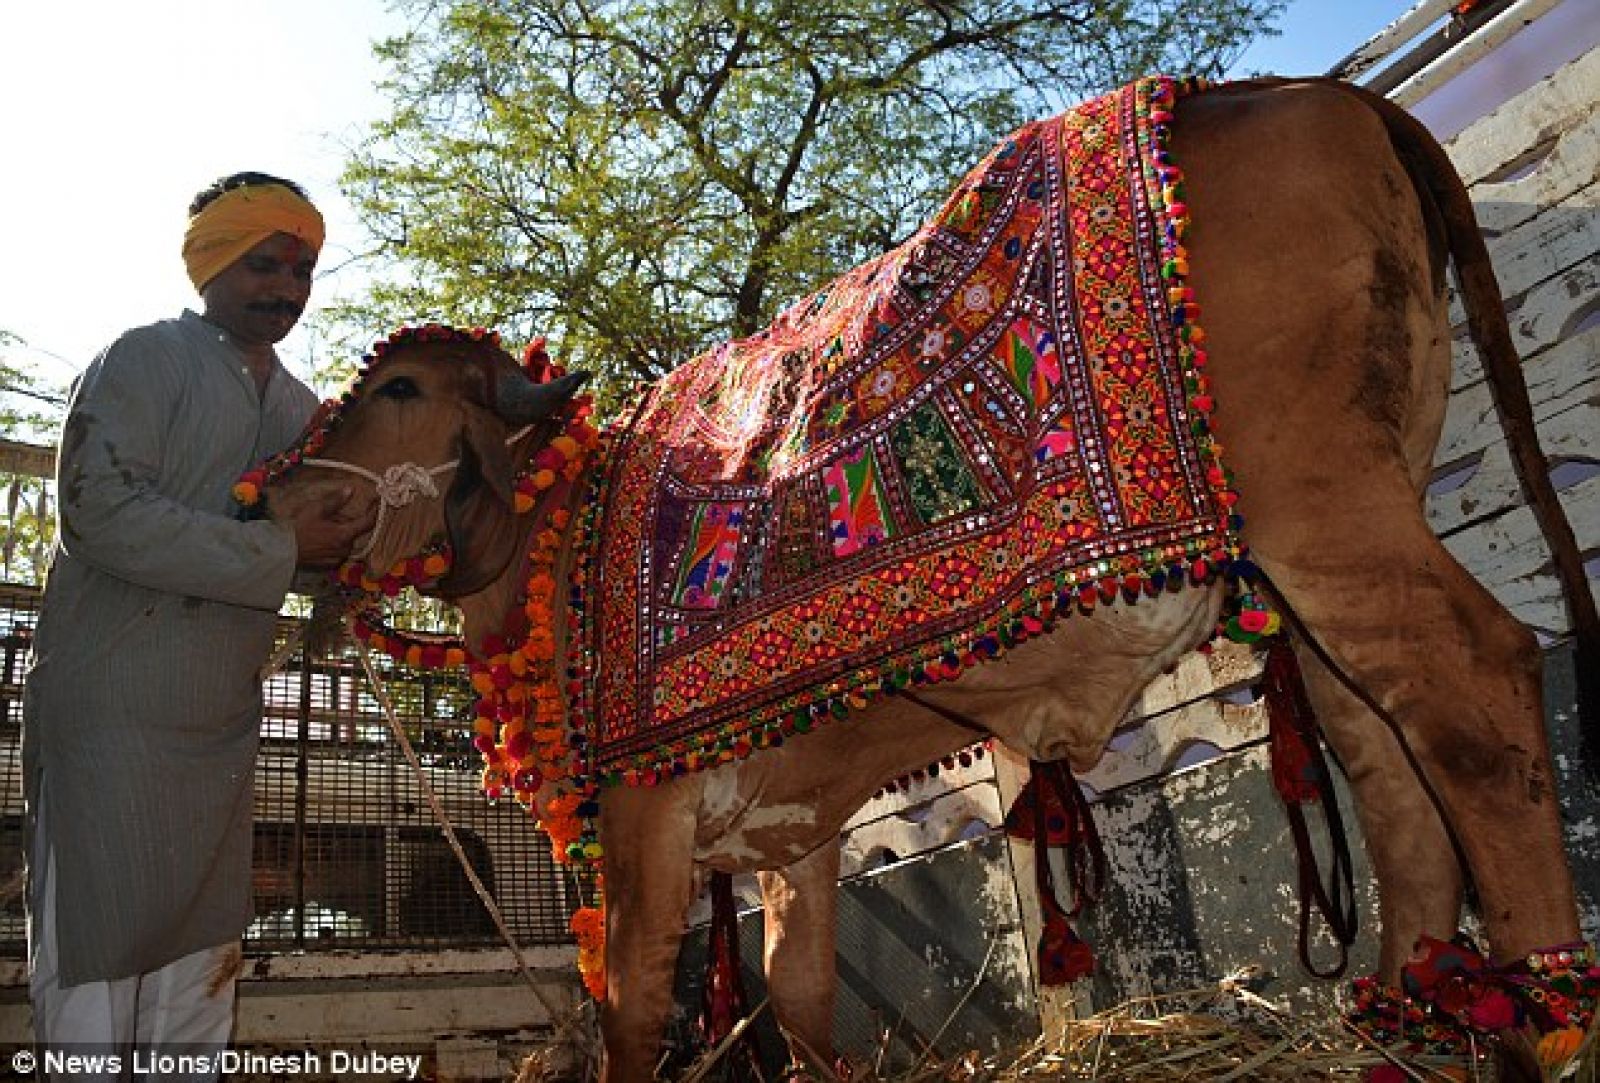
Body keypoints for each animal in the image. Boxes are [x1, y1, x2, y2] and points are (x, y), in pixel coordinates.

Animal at [249, 73, 1600, 1075]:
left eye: (398, 388)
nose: (274, 489)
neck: (562, 529)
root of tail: (1308, 89)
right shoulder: (791, 832)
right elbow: (798, 1004)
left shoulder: (641, 820)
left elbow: (632, 1015)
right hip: (1338, 547)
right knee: (1387, 761)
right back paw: (1407, 1020)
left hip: (1327, 515)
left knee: (1476, 693)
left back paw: (1541, 1012)